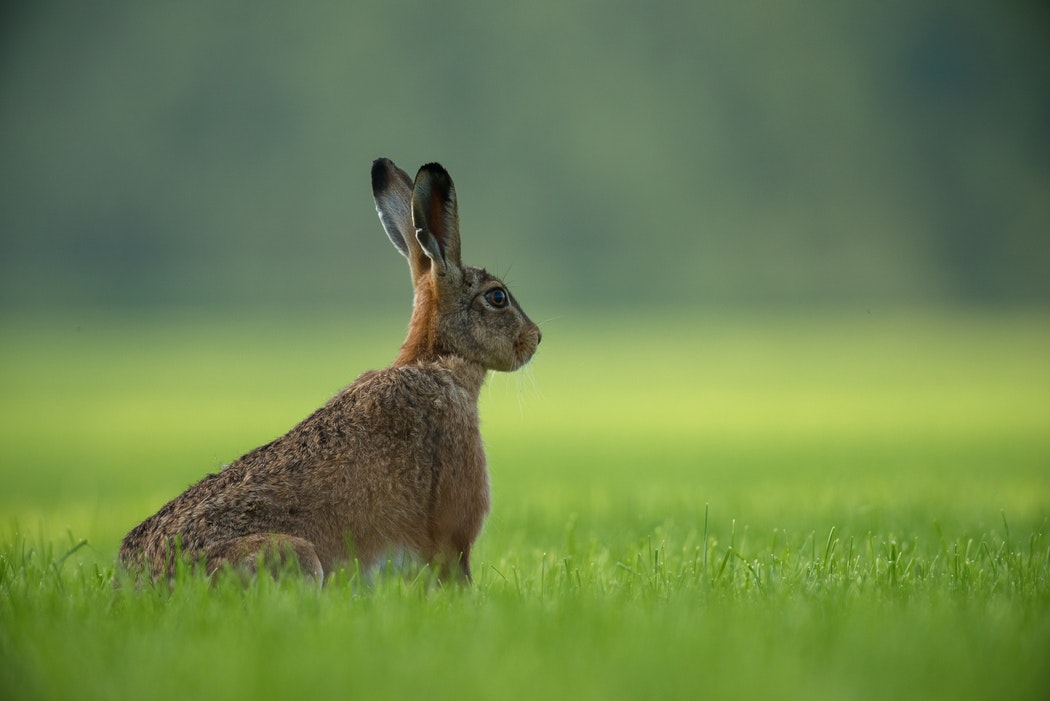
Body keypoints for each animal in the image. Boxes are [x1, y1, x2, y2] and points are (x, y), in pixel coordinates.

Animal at [118, 158, 541, 583]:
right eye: (497, 297)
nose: (536, 338)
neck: (438, 360)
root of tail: (142, 579)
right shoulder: (453, 535)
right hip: (296, 556)